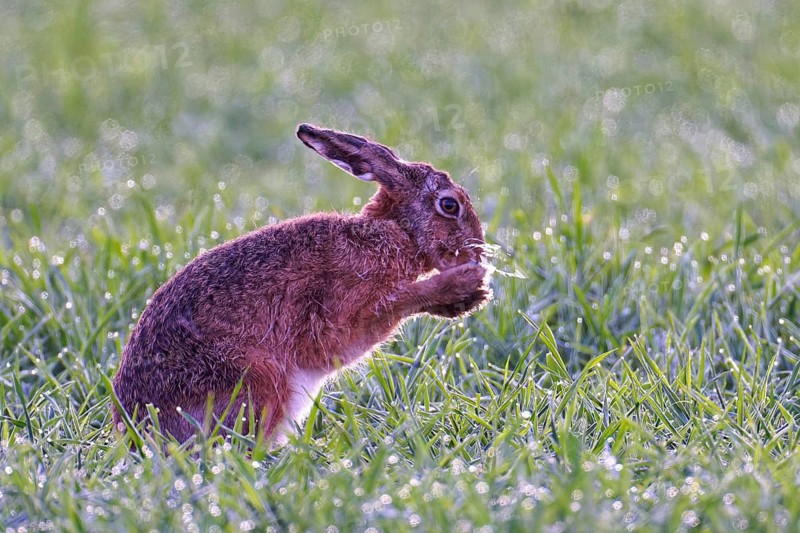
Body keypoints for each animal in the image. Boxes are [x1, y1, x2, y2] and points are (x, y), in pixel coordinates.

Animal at [111, 123, 490, 444]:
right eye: (449, 205)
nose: (478, 250)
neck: (393, 232)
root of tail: (136, 433)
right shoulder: (342, 312)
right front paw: (463, 285)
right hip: (255, 379)